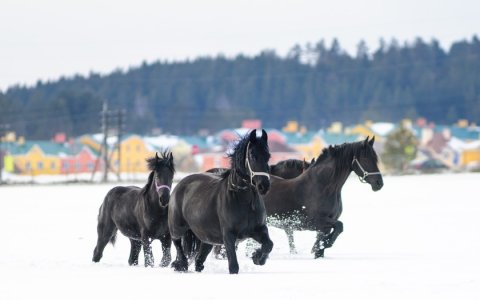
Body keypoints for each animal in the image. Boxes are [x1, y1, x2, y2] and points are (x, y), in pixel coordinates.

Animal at [169, 129, 274, 274]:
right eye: (253, 155)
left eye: (268, 156)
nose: (264, 186)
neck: (244, 201)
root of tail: (180, 184)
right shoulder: (228, 236)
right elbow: (234, 266)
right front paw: (256, 257)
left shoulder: (259, 229)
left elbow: (269, 245)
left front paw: (257, 257)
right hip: (178, 227)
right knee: (177, 243)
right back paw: (182, 265)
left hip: (207, 239)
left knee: (199, 261)